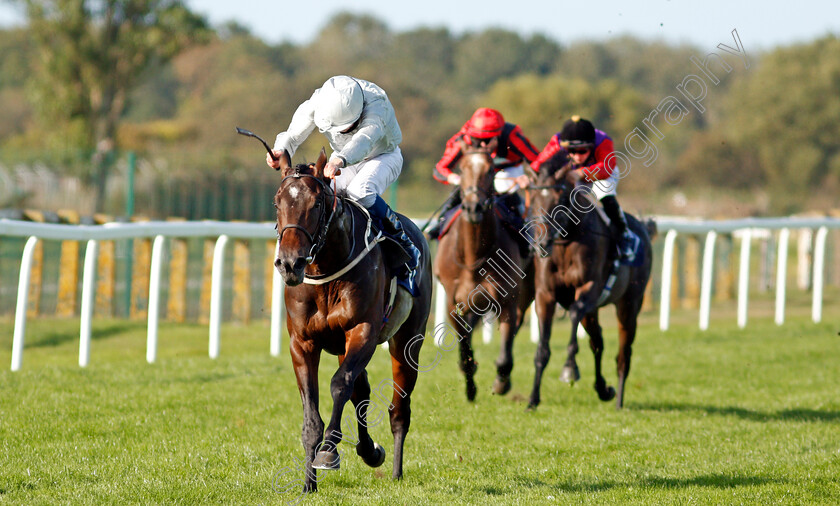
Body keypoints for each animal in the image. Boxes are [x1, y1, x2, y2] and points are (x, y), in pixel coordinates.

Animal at [276, 148, 434, 492]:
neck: (326, 270)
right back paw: (368, 450)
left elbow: (339, 385)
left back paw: (395, 470)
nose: (290, 263)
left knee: (398, 409)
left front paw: (328, 452)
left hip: (406, 342)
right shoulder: (303, 343)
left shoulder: (362, 332)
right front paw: (309, 484)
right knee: (360, 392)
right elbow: (314, 413)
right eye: (277, 202)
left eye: (316, 204)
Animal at [434, 138, 532, 400]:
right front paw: (470, 388)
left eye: (490, 170)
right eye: (461, 168)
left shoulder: (507, 300)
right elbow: (464, 351)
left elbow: (505, 355)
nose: (474, 207)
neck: (474, 256)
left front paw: (501, 383)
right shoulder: (453, 303)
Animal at [524, 152, 656, 410]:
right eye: (533, 198)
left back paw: (619, 400)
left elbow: (574, 314)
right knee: (598, 342)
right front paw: (533, 399)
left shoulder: (590, 288)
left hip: (629, 305)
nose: (540, 245)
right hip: (594, 311)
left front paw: (569, 369)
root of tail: (643, 228)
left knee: (623, 354)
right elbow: (542, 350)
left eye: (559, 199)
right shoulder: (545, 295)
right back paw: (603, 389)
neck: (565, 244)